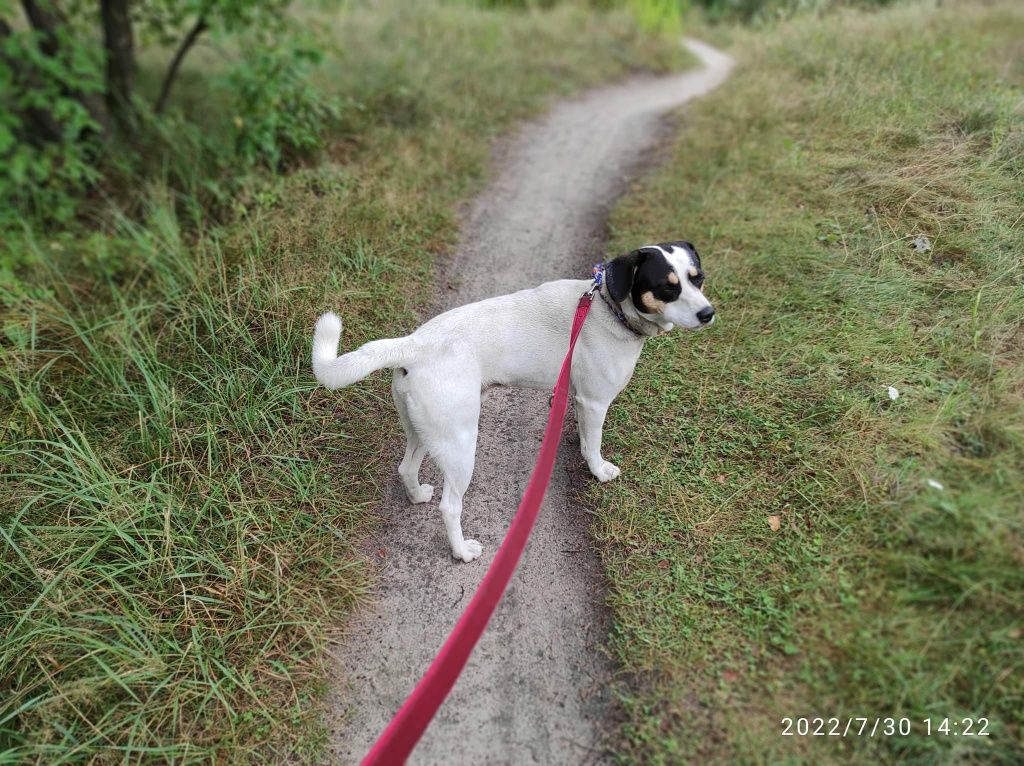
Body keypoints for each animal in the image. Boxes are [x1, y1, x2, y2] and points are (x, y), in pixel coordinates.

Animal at [309, 240, 712, 561]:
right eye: (666, 287)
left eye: (698, 278)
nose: (709, 313)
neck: (607, 306)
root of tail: (414, 344)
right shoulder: (594, 402)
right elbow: (592, 446)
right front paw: (599, 471)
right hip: (460, 444)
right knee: (450, 506)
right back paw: (462, 551)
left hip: (424, 429)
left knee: (406, 468)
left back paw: (417, 495)